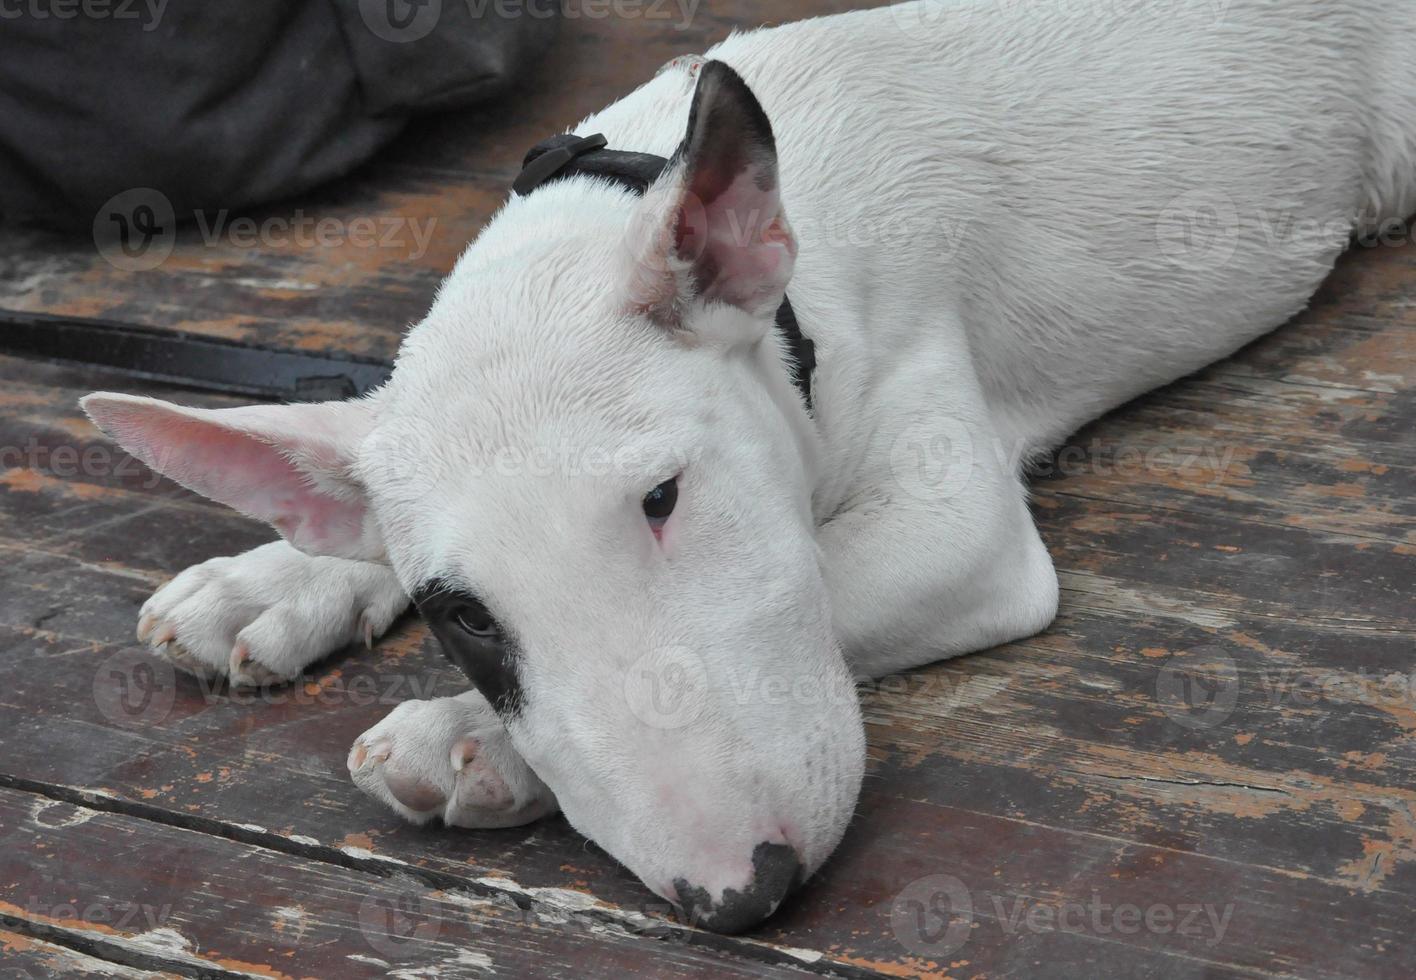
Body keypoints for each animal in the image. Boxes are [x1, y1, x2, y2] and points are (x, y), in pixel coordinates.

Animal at [82, 0, 1410, 934]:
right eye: (463, 616)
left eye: (666, 497)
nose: (744, 893)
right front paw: (269, 581)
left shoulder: (955, 511)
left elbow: (831, 573)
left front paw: (466, 742)